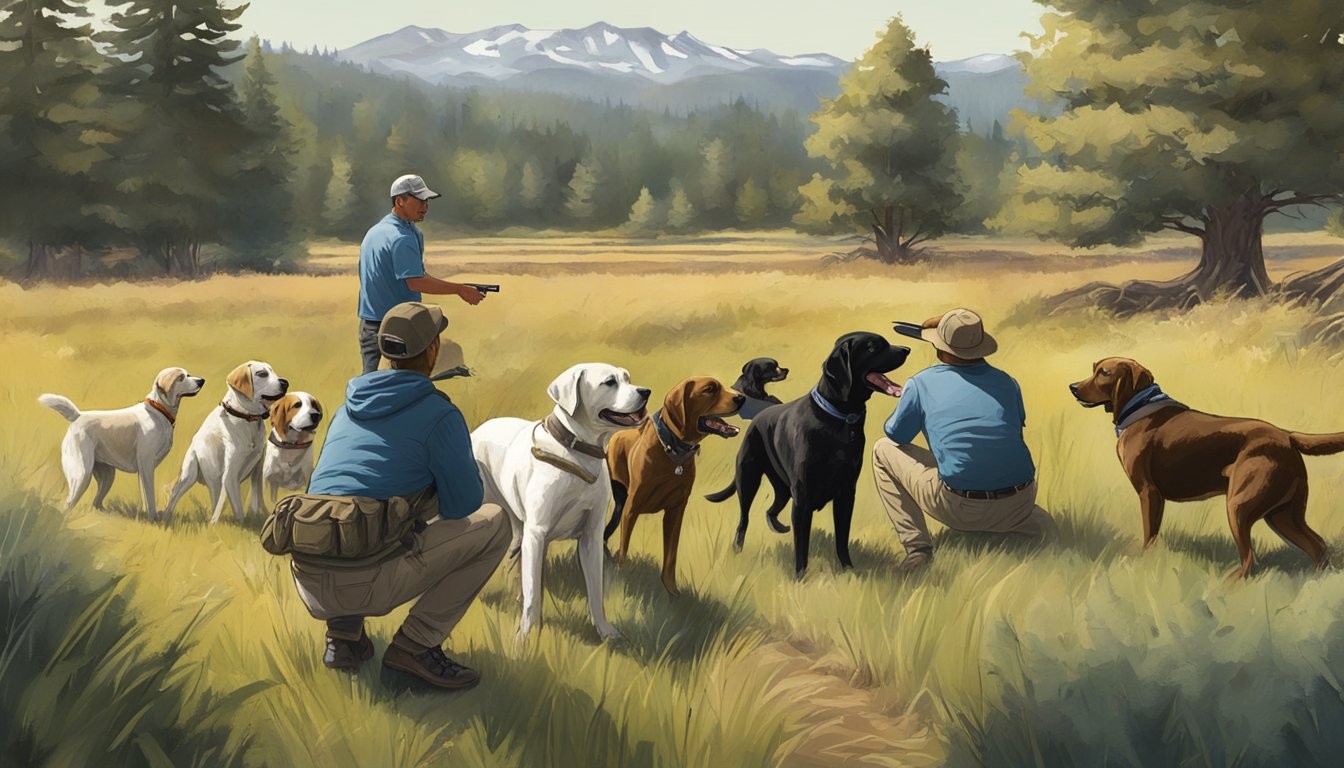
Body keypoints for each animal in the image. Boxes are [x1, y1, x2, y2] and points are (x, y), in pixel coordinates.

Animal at [39, 368, 205, 521]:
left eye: (188, 374)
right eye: (180, 378)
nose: (202, 381)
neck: (158, 410)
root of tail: (78, 416)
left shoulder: (142, 471)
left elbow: (145, 499)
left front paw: (148, 519)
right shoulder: (147, 466)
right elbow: (150, 498)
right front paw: (154, 519)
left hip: (107, 476)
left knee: (96, 502)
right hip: (81, 474)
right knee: (68, 504)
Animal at [162, 363, 288, 527]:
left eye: (273, 371)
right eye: (262, 374)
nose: (285, 383)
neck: (246, 417)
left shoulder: (257, 470)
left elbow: (256, 499)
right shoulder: (231, 474)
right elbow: (238, 509)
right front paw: (242, 525)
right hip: (190, 475)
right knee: (175, 497)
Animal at [475, 363, 653, 640]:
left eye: (628, 378)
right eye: (609, 382)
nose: (645, 392)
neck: (578, 454)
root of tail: (478, 429)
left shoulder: (591, 536)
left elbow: (595, 590)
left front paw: (605, 632)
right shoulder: (537, 534)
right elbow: (534, 594)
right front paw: (526, 637)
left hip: (518, 525)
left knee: (514, 557)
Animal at [607, 379, 747, 594]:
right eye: (709, 389)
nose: (741, 398)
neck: (673, 450)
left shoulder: (676, 511)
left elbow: (671, 557)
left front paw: (671, 590)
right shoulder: (631, 510)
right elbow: (624, 548)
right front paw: (623, 578)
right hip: (619, 503)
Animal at [1069, 357, 1344, 581]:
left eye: (1104, 372)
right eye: (1093, 369)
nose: (1072, 387)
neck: (1140, 407)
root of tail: (1287, 436)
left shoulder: (1149, 493)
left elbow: (1150, 535)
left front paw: (1144, 564)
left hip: (1239, 506)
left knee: (1250, 558)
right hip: (1283, 515)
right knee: (1317, 546)